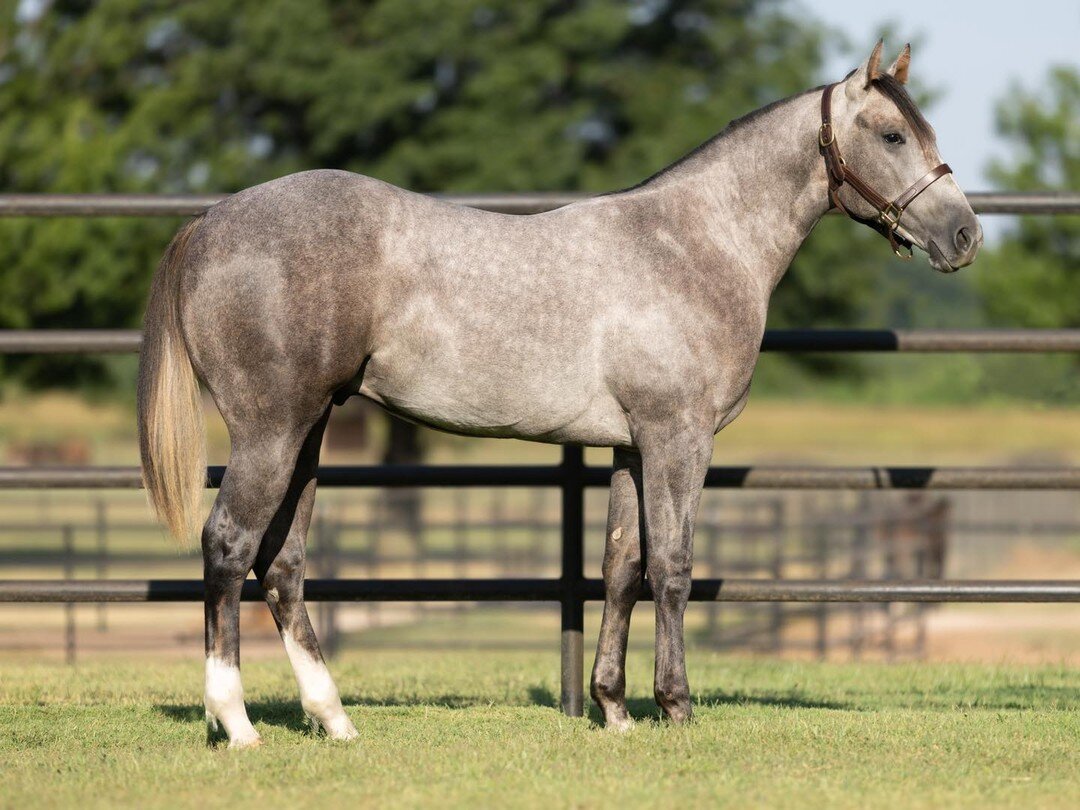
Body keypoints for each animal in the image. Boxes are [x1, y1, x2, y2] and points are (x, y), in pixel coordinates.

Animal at [135, 39, 980, 747]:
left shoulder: (631, 447)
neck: (695, 244)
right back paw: (237, 723)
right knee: (228, 546)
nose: (965, 235)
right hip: (271, 431)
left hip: (307, 433)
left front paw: (613, 708)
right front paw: (675, 707)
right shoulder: (678, 438)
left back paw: (334, 719)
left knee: (280, 565)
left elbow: (620, 568)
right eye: (892, 135)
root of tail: (208, 224)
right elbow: (673, 567)